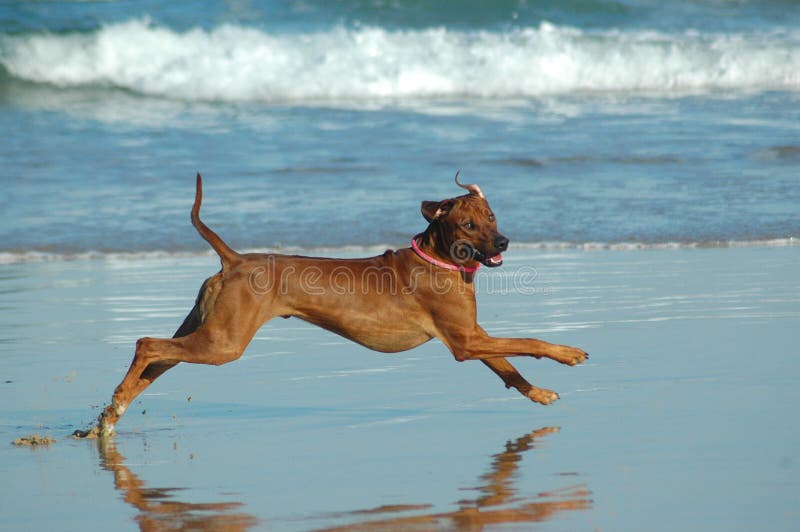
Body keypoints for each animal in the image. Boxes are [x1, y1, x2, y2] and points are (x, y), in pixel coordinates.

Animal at [76, 175, 588, 436]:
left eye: (493, 217)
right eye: (467, 224)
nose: (503, 242)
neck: (440, 257)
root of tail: (234, 259)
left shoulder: (473, 337)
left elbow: (510, 369)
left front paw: (539, 393)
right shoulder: (465, 341)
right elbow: (528, 341)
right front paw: (567, 354)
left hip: (205, 331)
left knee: (157, 358)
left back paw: (111, 414)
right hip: (223, 343)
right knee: (145, 344)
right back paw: (115, 404)